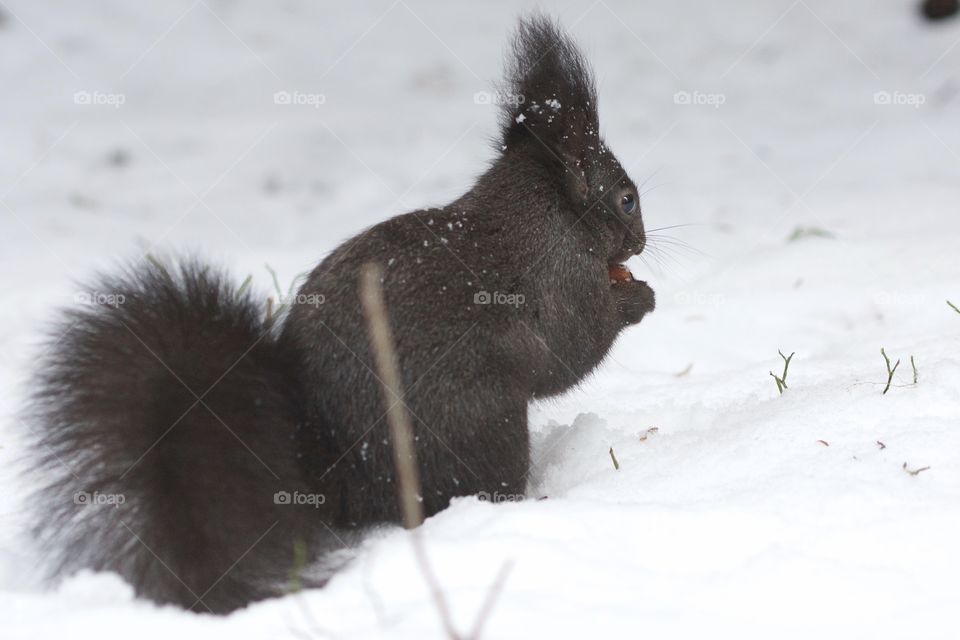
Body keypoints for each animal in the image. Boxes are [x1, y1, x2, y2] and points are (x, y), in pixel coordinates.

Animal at [28, 16, 652, 616]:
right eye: (627, 199)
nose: (642, 243)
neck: (542, 214)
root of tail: (331, 473)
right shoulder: (559, 282)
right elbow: (572, 351)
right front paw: (637, 301)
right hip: (483, 423)